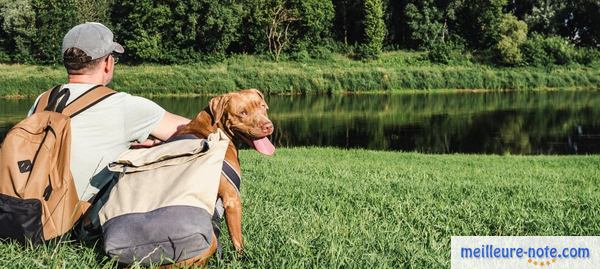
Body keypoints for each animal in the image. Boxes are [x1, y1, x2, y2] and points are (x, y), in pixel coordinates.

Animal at [175, 88, 276, 264]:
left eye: (263, 107)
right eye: (242, 112)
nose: (268, 126)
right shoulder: (232, 199)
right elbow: (237, 238)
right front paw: (243, 259)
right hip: (208, 241)